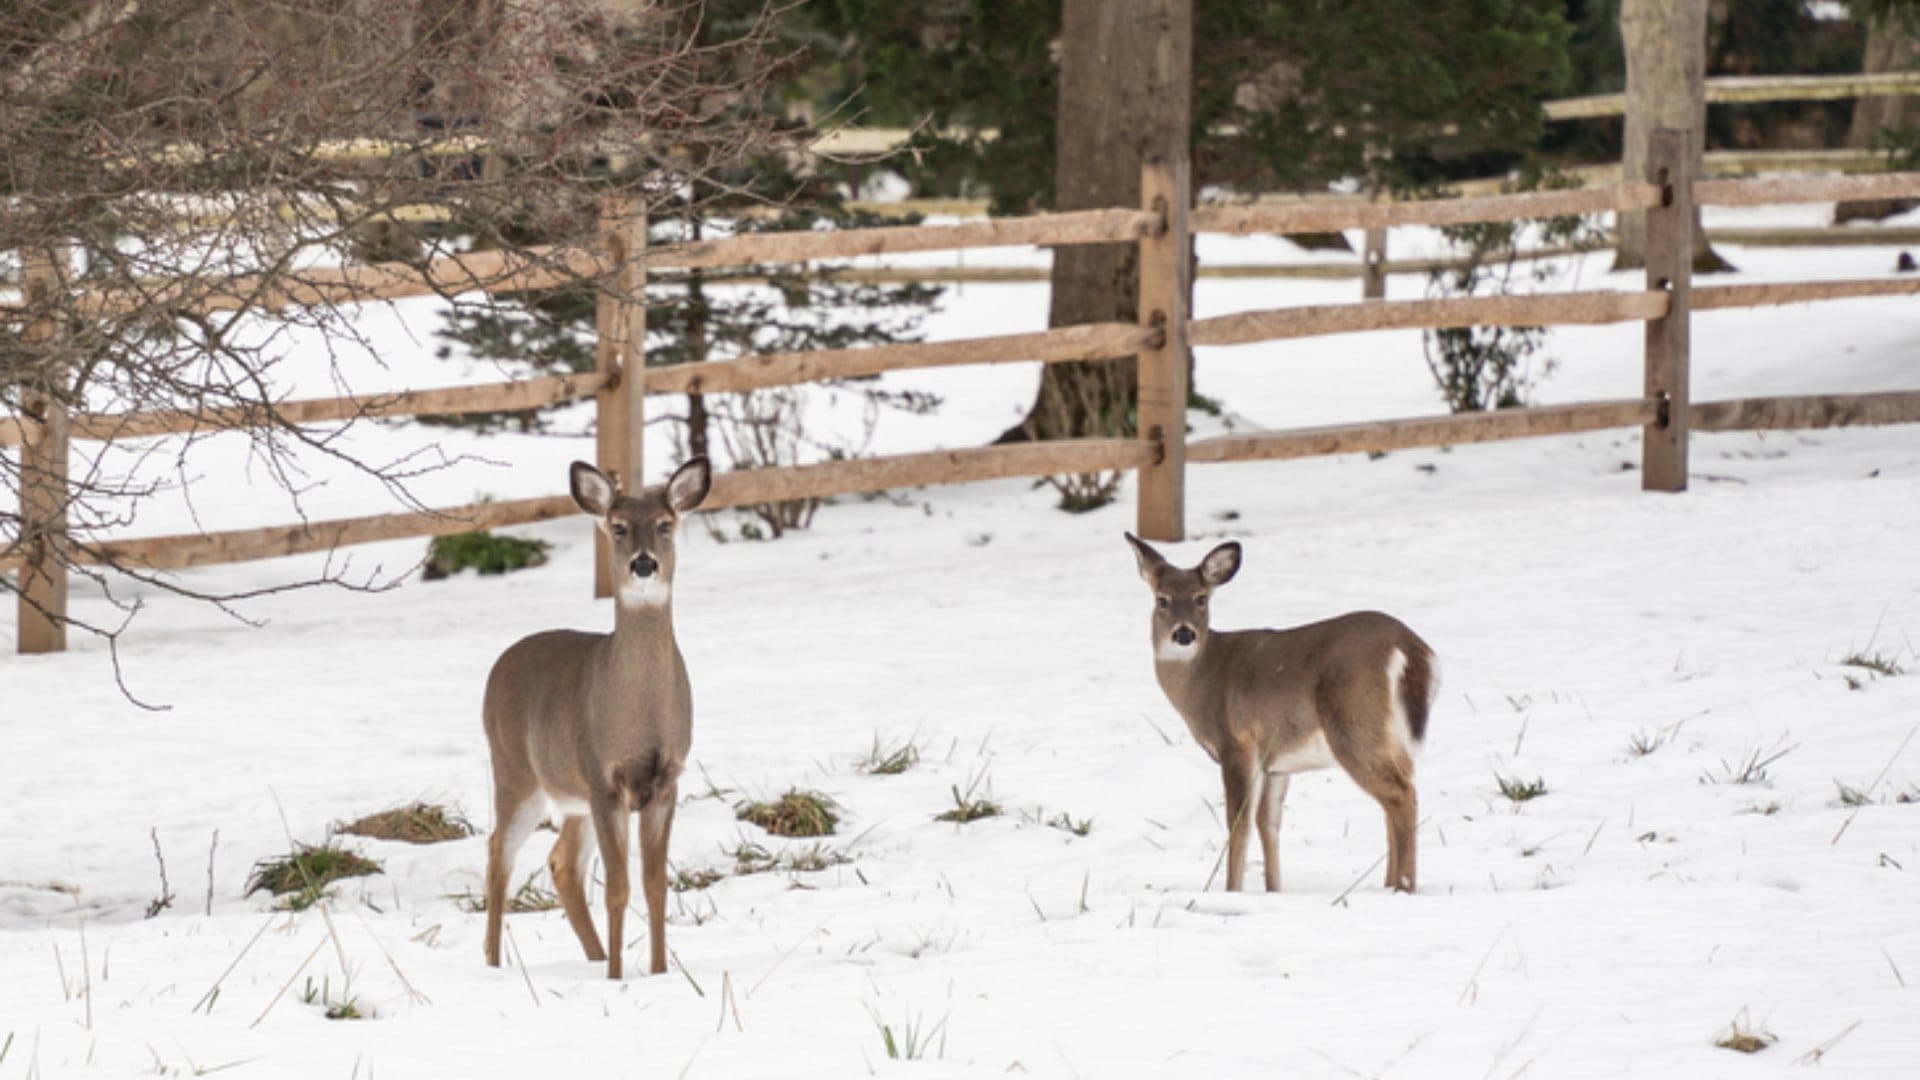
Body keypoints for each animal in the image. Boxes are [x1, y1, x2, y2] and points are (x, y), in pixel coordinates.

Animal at [482, 456, 712, 980]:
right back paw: (494, 964)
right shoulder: (605, 778)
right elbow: (618, 889)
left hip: (573, 797)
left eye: (665, 525)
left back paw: (595, 955)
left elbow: (655, 885)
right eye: (619, 526)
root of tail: (498, 665)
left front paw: (658, 972)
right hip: (516, 771)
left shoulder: (665, 780)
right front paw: (616, 980)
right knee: (499, 852)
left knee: (561, 862)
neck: (640, 713)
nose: (643, 564)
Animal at [1123, 533, 1437, 895]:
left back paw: (1404, 887)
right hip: (1390, 736)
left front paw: (1233, 891)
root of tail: (1411, 649)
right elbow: (1267, 822)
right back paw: (1388, 885)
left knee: (1401, 795)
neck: (1204, 678)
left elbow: (1239, 823)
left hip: (1355, 722)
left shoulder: (1237, 743)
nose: (1184, 633)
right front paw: (1274, 889)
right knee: (1395, 796)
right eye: (1162, 600)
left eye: (1201, 598)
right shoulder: (1275, 761)